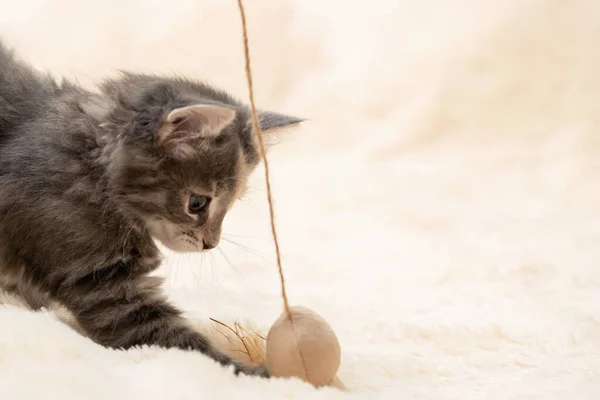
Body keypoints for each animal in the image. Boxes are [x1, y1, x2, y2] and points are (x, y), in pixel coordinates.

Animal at [0, 41, 300, 378]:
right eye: (198, 204)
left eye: (231, 204)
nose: (211, 244)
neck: (91, 169)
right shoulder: (106, 288)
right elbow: (186, 344)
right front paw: (260, 375)